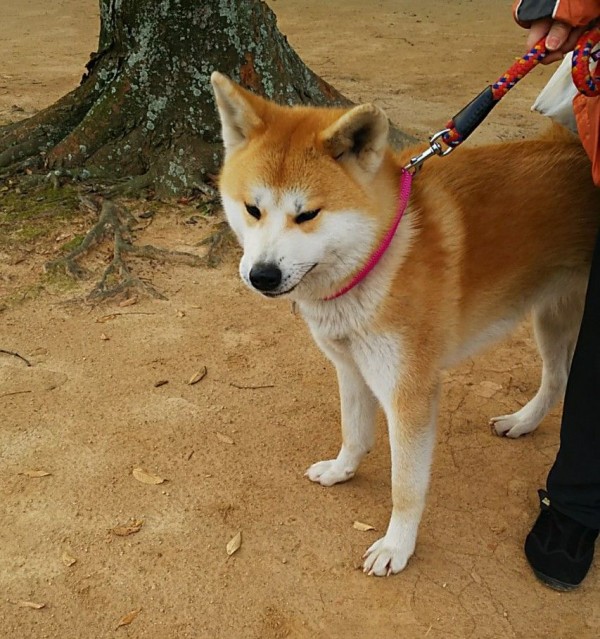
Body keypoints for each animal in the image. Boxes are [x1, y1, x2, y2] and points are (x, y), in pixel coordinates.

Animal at [211, 72, 600, 576]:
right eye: (252, 209)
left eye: (308, 214)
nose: (262, 275)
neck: (381, 257)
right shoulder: (351, 367)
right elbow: (354, 434)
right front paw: (341, 471)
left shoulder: (409, 392)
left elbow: (406, 487)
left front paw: (397, 546)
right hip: (550, 317)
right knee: (556, 380)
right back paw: (522, 422)